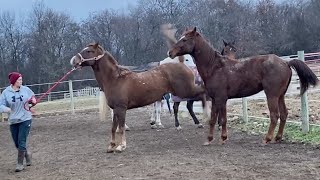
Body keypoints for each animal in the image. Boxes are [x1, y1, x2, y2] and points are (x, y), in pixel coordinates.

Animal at [70, 43, 210, 153]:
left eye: (89, 51)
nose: (73, 60)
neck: (115, 78)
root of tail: (184, 67)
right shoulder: (116, 109)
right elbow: (113, 128)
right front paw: (111, 146)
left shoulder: (121, 108)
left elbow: (121, 128)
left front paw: (121, 146)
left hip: (186, 91)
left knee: (202, 94)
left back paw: (206, 118)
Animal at [169, 26, 318, 145]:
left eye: (184, 40)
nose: (170, 52)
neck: (215, 67)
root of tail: (285, 62)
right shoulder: (215, 99)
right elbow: (213, 119)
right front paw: (209, 139)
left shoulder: (221, 98)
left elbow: (222, 119)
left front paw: (223, 138)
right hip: (280, 95)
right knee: (284, 114)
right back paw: (278, 138)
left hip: (272, 95)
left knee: (275, 115)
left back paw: (267, 139)